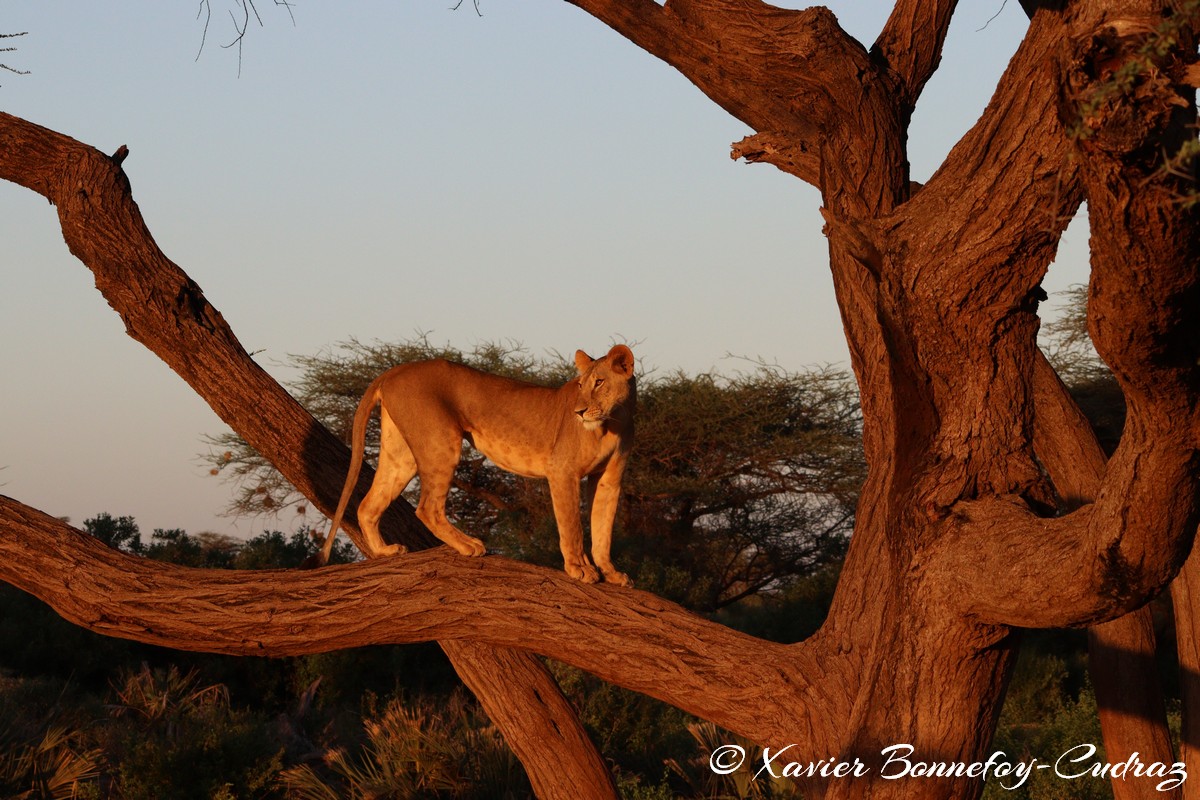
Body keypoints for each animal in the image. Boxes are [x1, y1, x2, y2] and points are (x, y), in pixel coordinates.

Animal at [319, 340, 638, 585]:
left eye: (599, 382)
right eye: (580, 384)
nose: (578, 411)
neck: (614, 421)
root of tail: (396, 369)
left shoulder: (609, 480)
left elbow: (603, 529)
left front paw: (611, 572)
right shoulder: (562, 471)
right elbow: (572, 526)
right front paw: (579, 568)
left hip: (401, 456)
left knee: (367, 505)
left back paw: (384, 551)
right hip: (441, 443)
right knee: (428, 508)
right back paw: (469, 545)